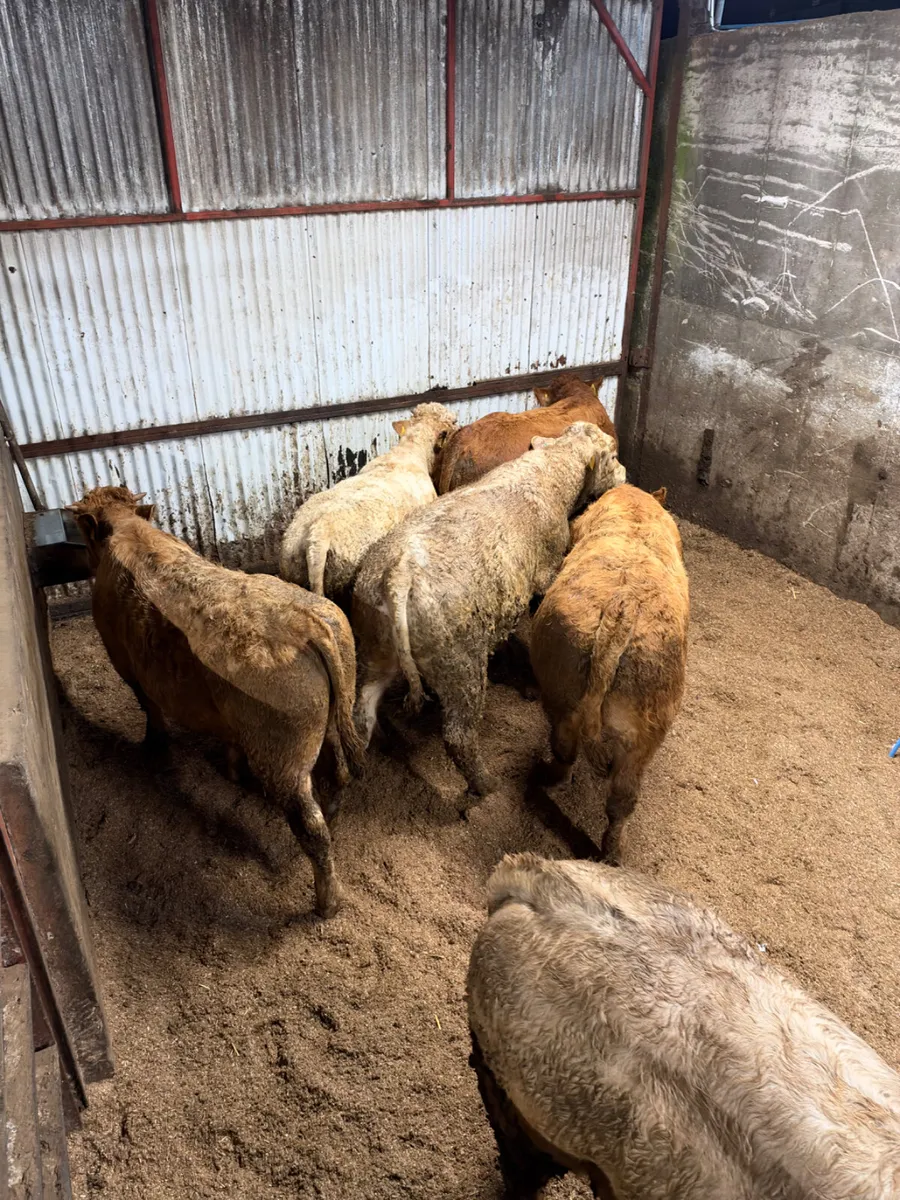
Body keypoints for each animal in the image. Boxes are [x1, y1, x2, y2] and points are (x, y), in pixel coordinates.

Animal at [68, 486, 363, 918]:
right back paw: (337, 820)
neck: (129, 531)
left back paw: (327, 903)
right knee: (339, 773)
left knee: (311, 828)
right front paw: (231, 769)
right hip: (333, 715)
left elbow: (149, 706)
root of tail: (304, 623)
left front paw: (153, 746)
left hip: (282, 760)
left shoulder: (123, 661)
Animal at [352, 423, 625, 799]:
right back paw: (485, 786)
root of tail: (397, 575)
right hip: (459, 665)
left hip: (375, 649)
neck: (549, 472)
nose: (625, 475)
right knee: (458, 737)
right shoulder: (547, 571)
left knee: (361, 714)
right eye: (611, 455)